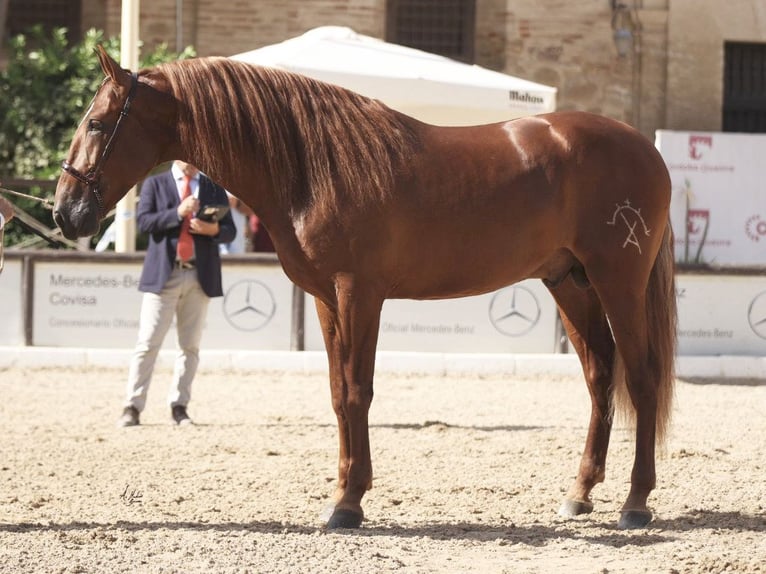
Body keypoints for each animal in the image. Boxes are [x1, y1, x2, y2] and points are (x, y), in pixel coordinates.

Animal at [55, 47, 680, 532]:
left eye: (97, 123)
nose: (65, 212)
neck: (315, 167)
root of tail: (646, 149)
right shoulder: (326, 299)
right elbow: (337, 394)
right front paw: (342, 492)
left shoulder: (359, 293)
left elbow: (358, 391)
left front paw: (348, 504)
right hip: (569, 283)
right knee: (600, 375)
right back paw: (580, 493)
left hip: (618, 281)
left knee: (642, 377)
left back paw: (635, 503)